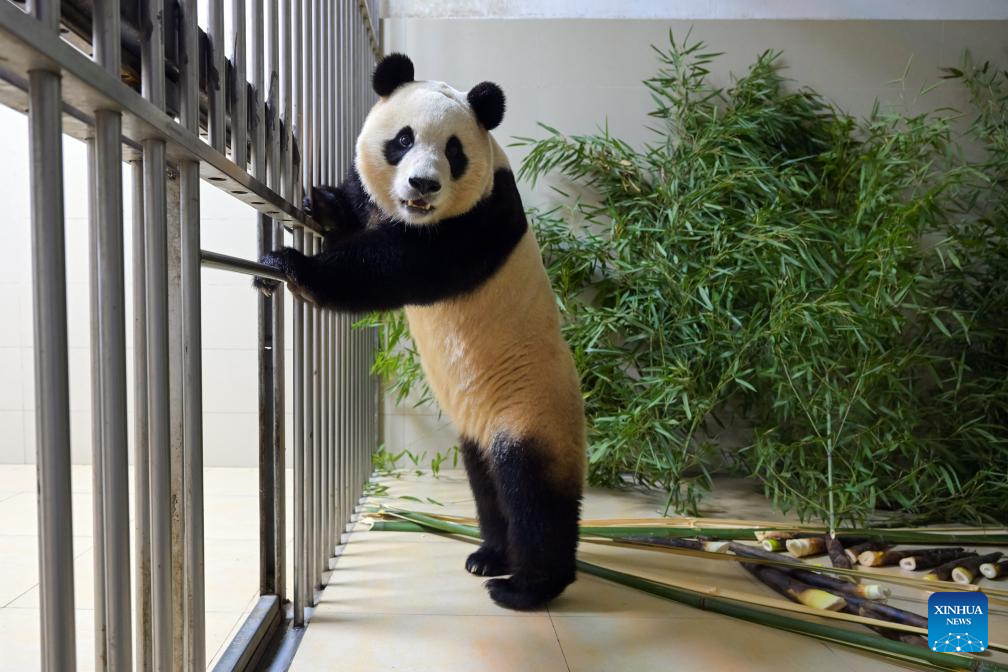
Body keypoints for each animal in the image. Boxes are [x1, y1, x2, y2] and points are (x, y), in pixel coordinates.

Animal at [259, 53, 586, 610]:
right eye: (403, 140)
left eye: (454, 152)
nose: (423, 185)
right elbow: (357, 210)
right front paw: (325, 202)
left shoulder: (479, 222)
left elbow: (393, 267)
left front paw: (292, 265)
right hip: (481, 429)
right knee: (487, 487)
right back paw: (488, 556)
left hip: (534, 411)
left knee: (533, 496)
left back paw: (525, 586)